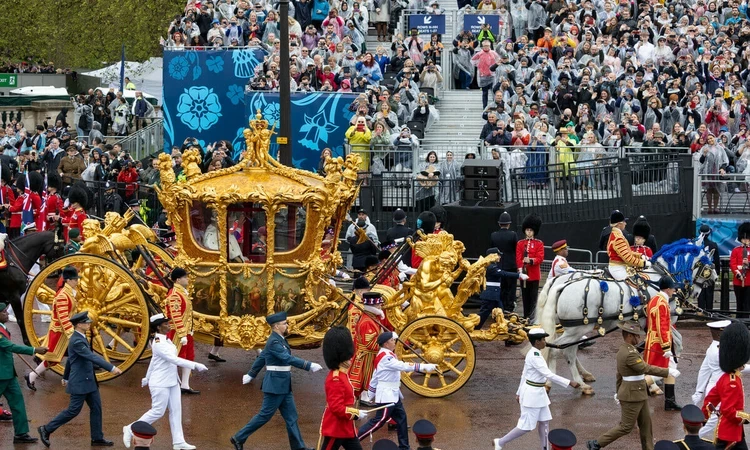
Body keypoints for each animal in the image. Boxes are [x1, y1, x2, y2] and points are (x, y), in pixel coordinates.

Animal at [536, 239, 720, 394]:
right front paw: (654, 380)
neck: (659, 280)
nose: (695, 293)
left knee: (568, 351)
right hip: (576, 329)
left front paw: (661, 375)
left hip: (573, 329)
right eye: (709, 266)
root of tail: (561, 285)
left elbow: (673, 344)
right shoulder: (656, 322)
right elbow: (662, 347)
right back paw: (557, 382)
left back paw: (578, 381)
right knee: (559, 350)